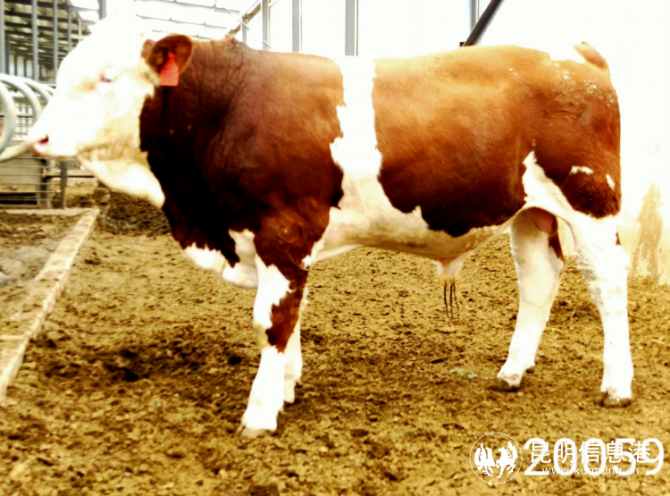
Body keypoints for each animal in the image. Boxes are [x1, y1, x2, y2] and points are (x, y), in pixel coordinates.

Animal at [20, 16, 632, 436]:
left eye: (107, 76)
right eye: (62, 71)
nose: (38, 138)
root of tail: (576, 53)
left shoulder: (282, 228)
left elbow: (272, 319)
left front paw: (260, 413)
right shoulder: (280, 242)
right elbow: (290, 313)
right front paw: (287, 387)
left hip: (591, 199)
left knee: (607, 284)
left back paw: (616, 385)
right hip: (531, 209)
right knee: (538, 279)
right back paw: (512, 371)